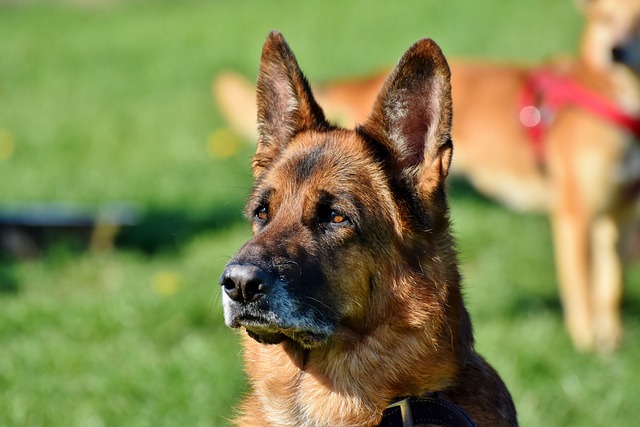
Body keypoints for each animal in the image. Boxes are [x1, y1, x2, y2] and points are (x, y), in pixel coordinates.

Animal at [215, 0, 640, 354]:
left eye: (336, 217)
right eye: (262, 213)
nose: (238, 284)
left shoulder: (614, 221)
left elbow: (610, 286)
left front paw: (610, 340)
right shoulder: (575, 218)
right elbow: (584, 289)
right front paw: (590, 344)